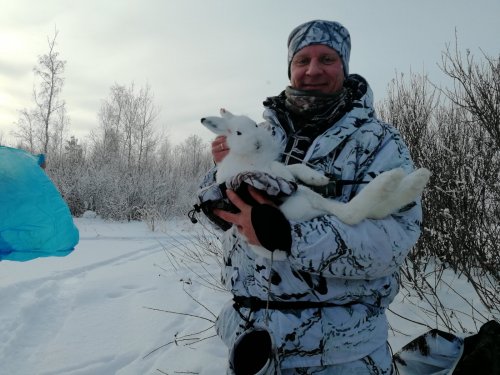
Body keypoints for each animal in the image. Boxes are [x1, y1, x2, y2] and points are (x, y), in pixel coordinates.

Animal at [200, 109, 430, 258]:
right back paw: (395, 179)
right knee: (350, 213)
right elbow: (275, 170)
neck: (251, 155)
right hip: (305, 197)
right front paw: (288, 175)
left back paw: (414, 180)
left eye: (255, 125)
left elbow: (294, 167)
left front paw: (317, 178)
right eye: (239, 133)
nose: (257, 142)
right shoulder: (252, 171)